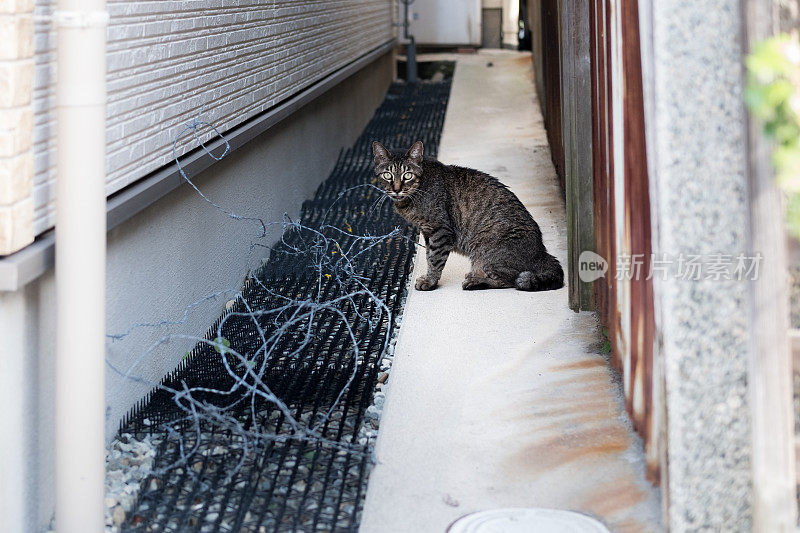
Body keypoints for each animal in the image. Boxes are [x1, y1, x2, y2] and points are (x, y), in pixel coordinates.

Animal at [374, 140, 564, 290]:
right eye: (387, 174)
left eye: (407, 175)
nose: (397, 189)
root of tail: (542, 252)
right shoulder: (427, 231)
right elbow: (429, 256)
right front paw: (429, 277)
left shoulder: (440, 230)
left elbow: (435, 259)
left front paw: (430, 281)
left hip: (485, 251)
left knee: (510, 280)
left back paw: (476, 281)